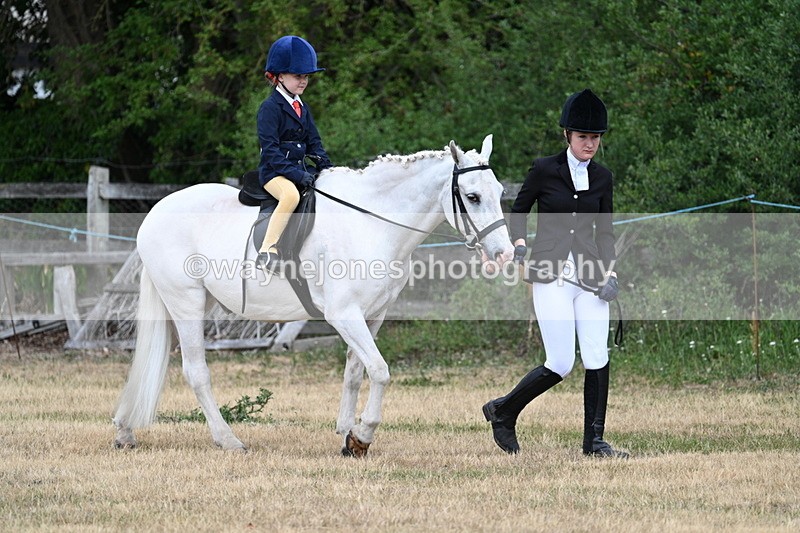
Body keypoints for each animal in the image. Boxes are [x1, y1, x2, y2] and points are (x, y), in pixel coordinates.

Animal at [113, 134, 514, 456]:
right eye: (472, 196)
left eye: (499, 193)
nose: (505, 254)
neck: (370, 223)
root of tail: (155, 212)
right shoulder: (344, 313)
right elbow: (380, 371)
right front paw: (363, 437)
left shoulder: (372, 315)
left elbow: (355, 372)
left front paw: (347, 435)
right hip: (187, 302)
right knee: (196, 372)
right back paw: (228, 440)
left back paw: (124, 430)